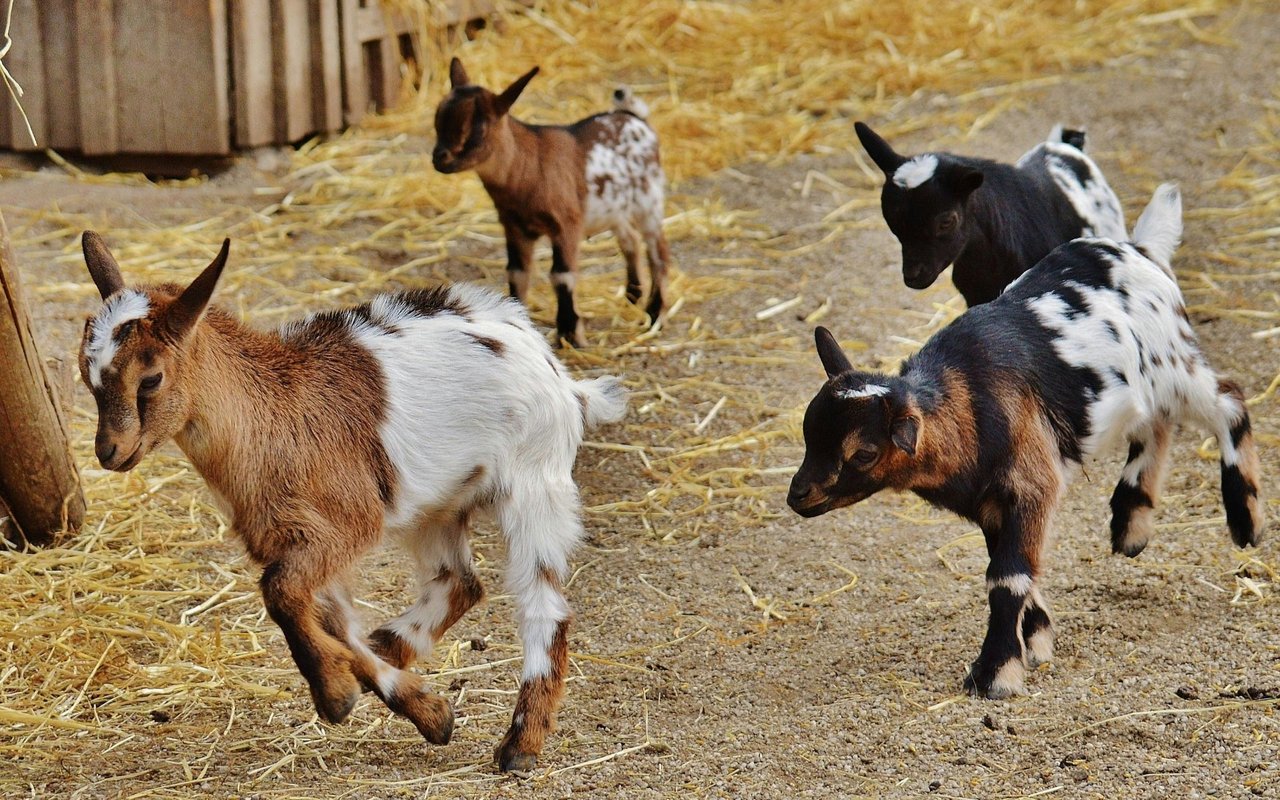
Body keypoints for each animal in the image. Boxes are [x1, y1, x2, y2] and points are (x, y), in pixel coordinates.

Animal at [77, 232, 627, 772]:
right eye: (87, 377)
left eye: (150, 378)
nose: (109, 452)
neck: (272, 414)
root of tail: (562, 377)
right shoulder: (294, 539)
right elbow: (329, 621)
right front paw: (425, 710)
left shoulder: (344, 525)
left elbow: (281, 594)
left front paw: (336, 695)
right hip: (437, 505)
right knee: (458, 583)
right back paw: (391, 647)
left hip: (535, 483)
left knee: (543, 606)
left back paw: (520, 745)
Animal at [433, 58, 671, 347]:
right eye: (437, 120)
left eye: (479, 128)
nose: (439, 158)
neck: (530, 166)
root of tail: (635, 118)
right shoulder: (515, 227)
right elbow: (517, 273)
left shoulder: (566, 225)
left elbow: (562, 275)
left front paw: (570, 335)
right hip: (615, 209)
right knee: (630, 240)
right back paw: (632, 297)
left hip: (649, 200)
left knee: (658, 252)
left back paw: (655, 314)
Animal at [788, 184, 1263, 698]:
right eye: (808, 431)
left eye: (864, 452)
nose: (798, 496)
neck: (969, 400)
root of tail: (1140, 248)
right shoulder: (991, 505)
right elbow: (1015, 568)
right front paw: (1035, 642)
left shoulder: (1031, 483)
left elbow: (1008, 577)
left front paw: (995, 673)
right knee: (1157, 425)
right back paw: (1131, 526)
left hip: (1175, 366)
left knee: (1228, 400)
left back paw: (1245, 521)